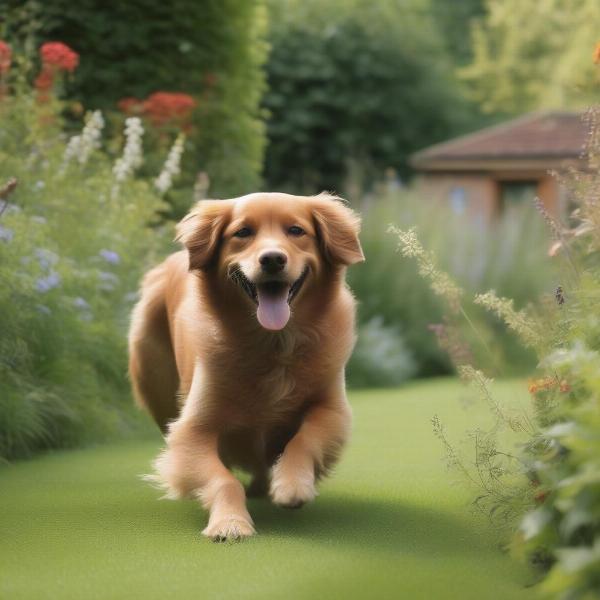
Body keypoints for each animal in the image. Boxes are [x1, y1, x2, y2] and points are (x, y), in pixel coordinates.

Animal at [129, 193, 364, 544]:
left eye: (296, 230)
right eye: (242, 233)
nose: (272, 259)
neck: (273, 343)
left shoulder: (331, 407)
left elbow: (304, 439)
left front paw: (292, 484)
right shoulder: (192, 431)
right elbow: (223, 480)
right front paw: (229, 522)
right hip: (151, 375)